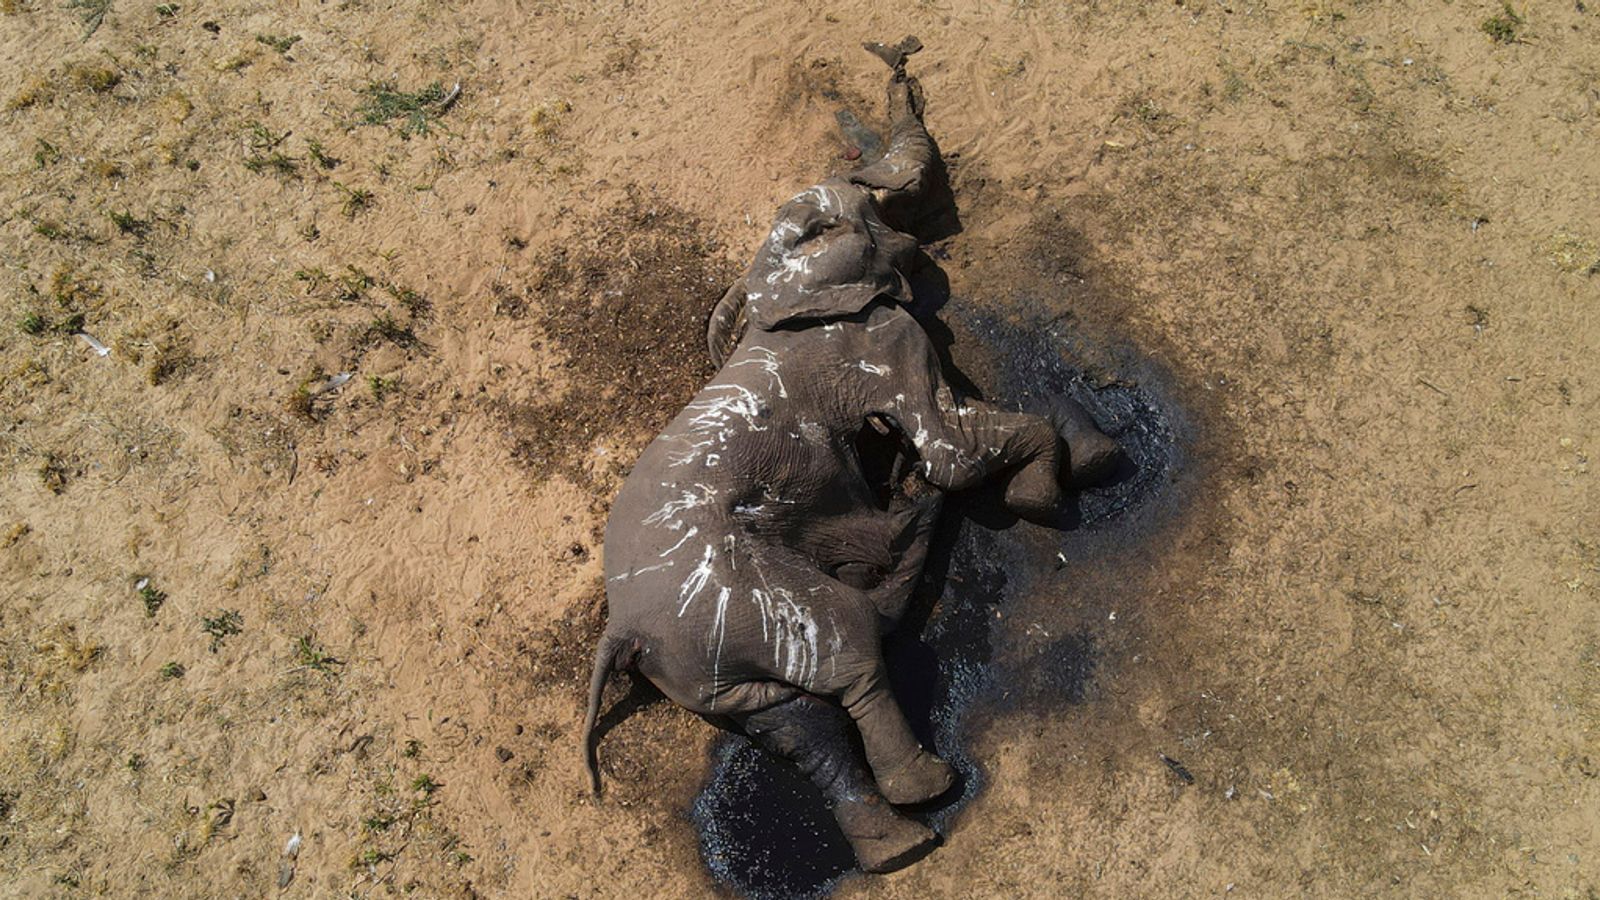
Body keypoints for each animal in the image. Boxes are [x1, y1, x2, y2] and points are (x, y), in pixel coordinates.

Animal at [583, 39, 1121, 874]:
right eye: (866, 208)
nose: (900, 58)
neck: (770, 279)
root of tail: (625, 632)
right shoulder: (874, 340)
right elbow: (950, 447)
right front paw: (1041, 495)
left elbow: (957, 418)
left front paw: (1086, 458)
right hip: (744, 596)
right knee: (848, 642)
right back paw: (926, 793)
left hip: (705, 661)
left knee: (795, 720)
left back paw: (895, 844)